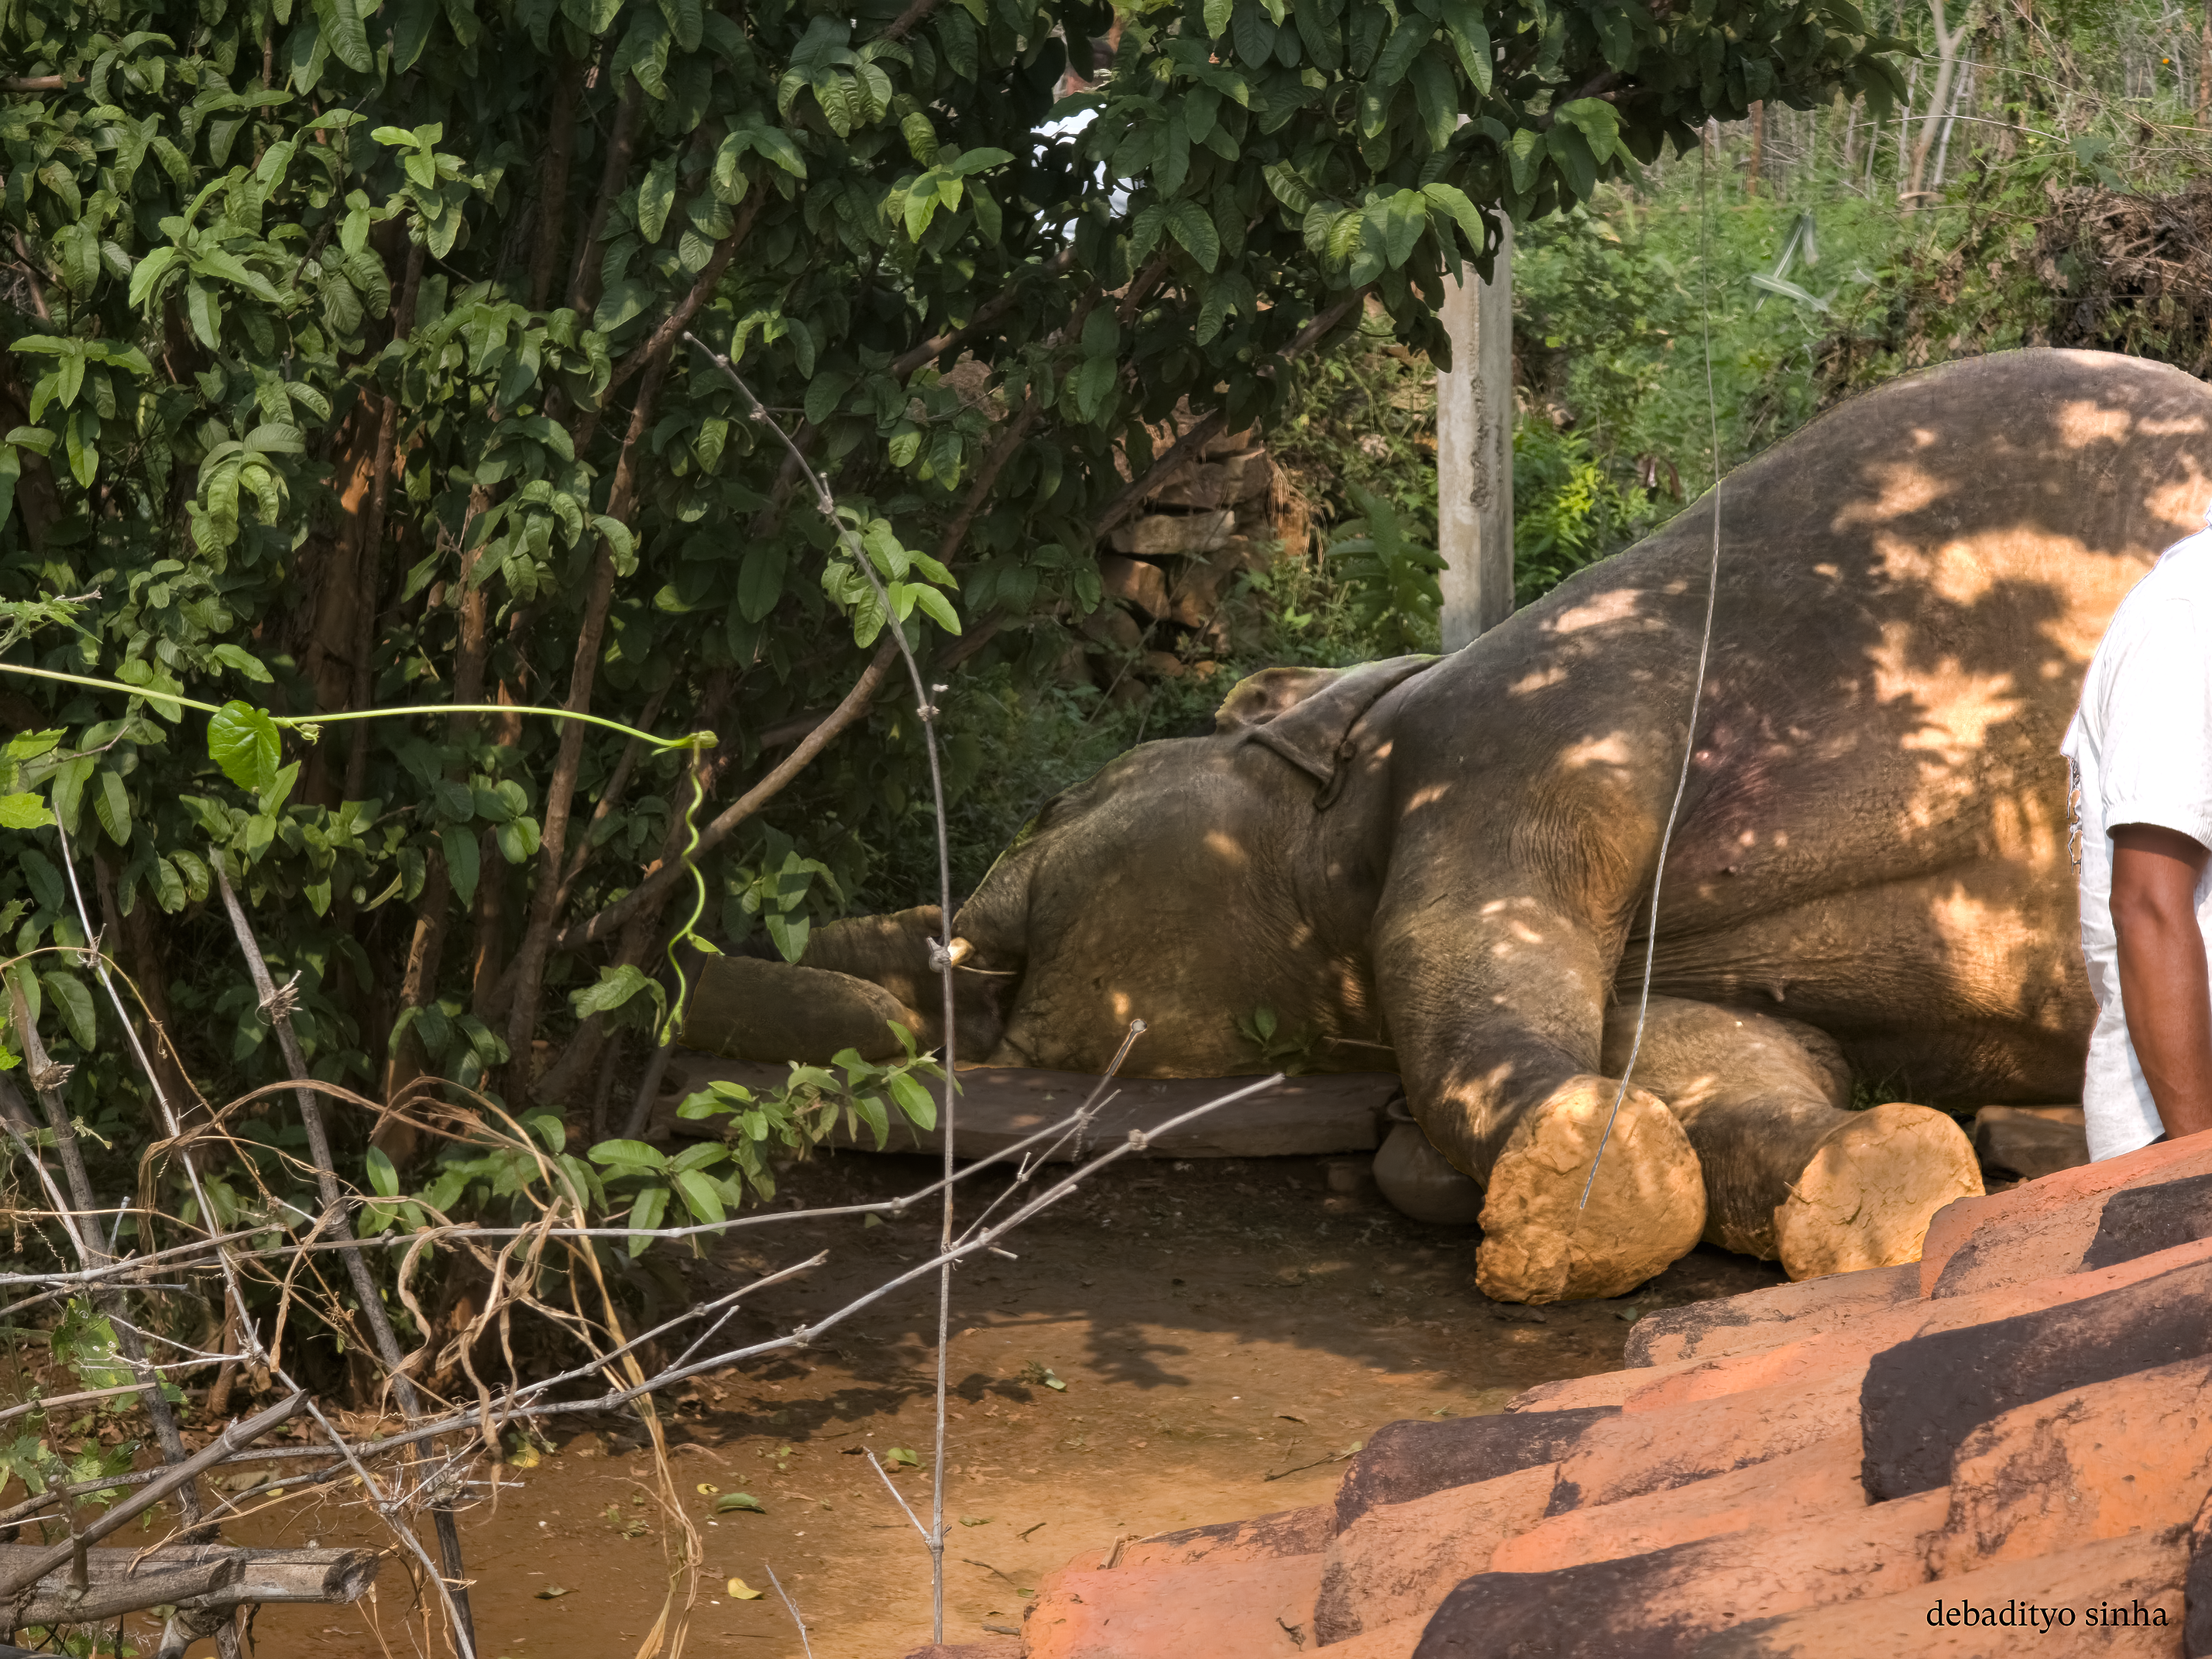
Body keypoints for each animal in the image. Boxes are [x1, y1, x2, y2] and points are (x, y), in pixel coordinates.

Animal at [681, 348, 2212, 1303]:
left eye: (1063, 801)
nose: (919, 993)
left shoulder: (1517, 738)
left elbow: (1463, 943)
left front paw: (1559, 1187)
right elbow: (1726, 1056)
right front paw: (1874, 1178)